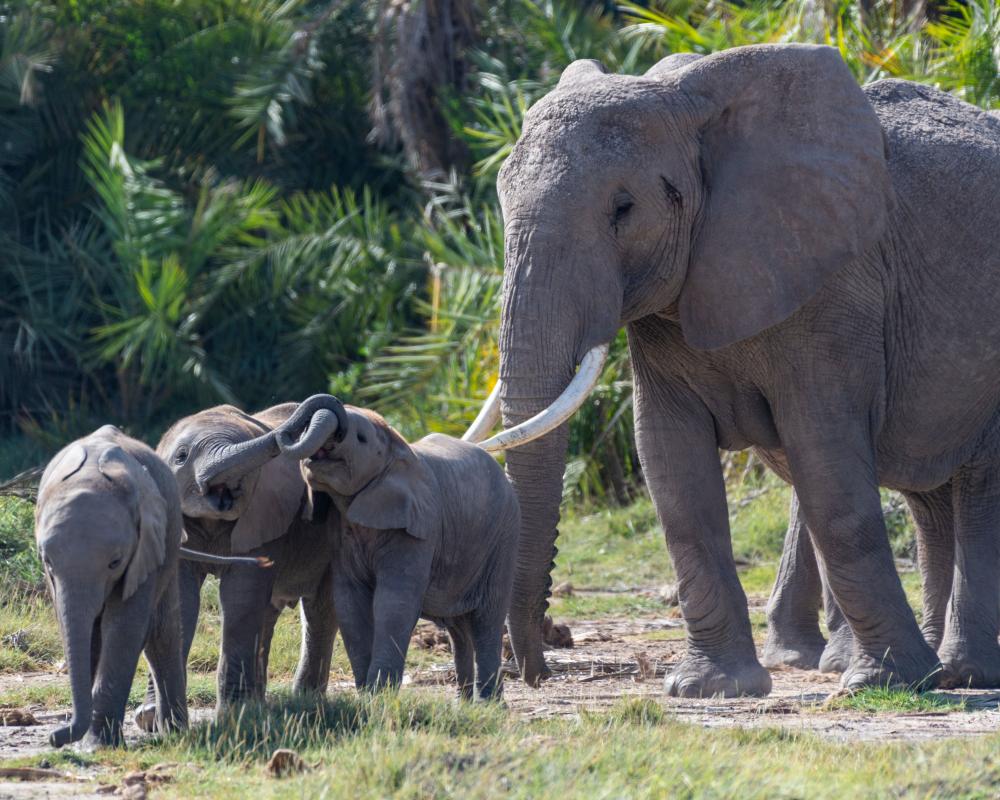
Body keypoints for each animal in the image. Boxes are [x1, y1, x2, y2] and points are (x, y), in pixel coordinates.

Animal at [134, 402, 341, 724]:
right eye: (181, 457)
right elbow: (182, 599)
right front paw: (149, 718)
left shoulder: (265, 513)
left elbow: (240, 597)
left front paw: (234, 716)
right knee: (268, 614)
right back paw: (260, 704)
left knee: (319, 610)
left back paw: (303, 702)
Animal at [196, 395, 521, 699]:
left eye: (361, 438)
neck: (398, 448)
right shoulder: (342, 534)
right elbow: (349, 602)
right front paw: (370, 694)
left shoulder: (417, 529)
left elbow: (394, 601)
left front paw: (380, 696)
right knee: (459, 628)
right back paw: (465, 703)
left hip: (503, 539)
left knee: (487, 618)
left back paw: (488, 704)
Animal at [460, 43, 1000, 696]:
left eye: (623, 210)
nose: (536, 670)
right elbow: (672, 468)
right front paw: (712, 687)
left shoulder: (836, 286)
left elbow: (827, 462)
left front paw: (884, 683)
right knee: (930, 498)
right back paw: (941, 670)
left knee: (976, 489)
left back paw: (962, 674)